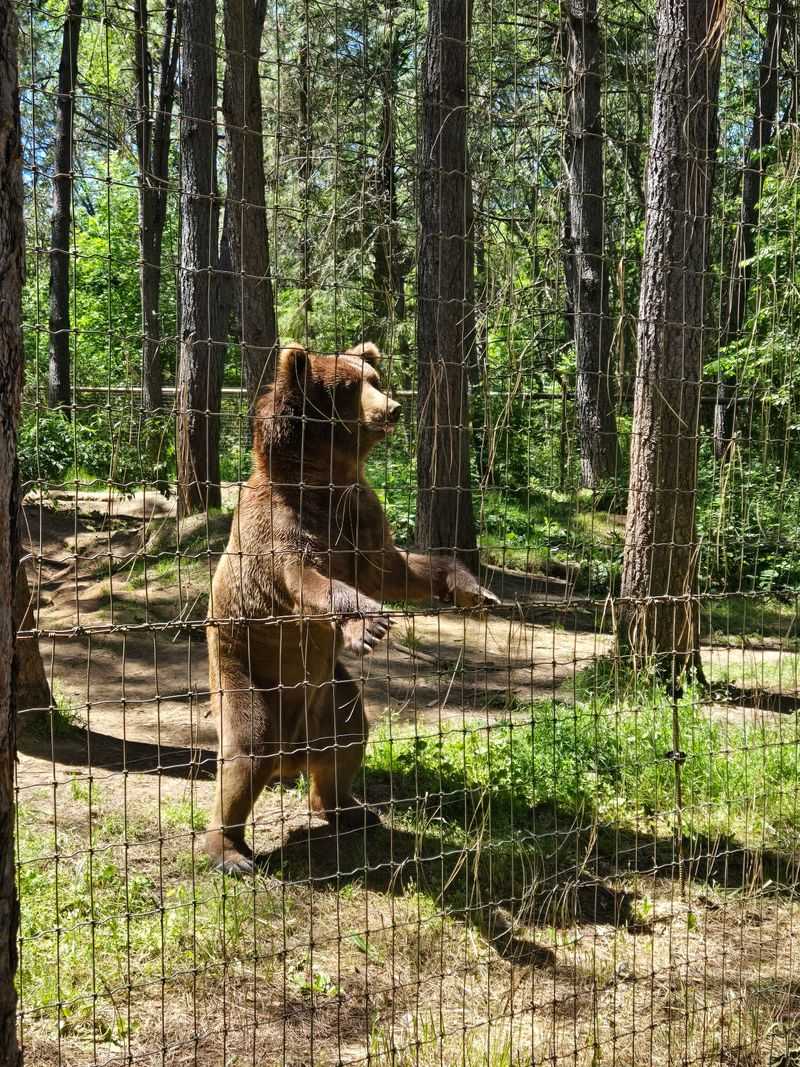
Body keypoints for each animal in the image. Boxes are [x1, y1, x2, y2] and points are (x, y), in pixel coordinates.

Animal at [205, 341, 498, 874]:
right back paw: (229, 850)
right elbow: (309, 581)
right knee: (247, 750)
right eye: (347, 387)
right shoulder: (280, 527)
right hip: (246, 668)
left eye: (375, 379)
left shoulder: (359, 515)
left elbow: (395, 570)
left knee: (348, 735)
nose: (393, 409)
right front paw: (370, 623)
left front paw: (473, 589)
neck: (324, 480)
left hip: (330, 694)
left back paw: (348, 809)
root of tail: (294, 754)